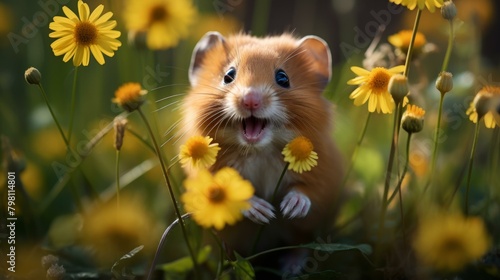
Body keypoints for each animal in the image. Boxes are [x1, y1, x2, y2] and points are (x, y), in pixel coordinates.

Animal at [180, 32, 344, 262]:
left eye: (283, 78)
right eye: (228, 75)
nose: (250, 100)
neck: (260, 151)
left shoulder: (324, 177)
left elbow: (306, 192)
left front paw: (289, 209)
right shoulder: (210, 175)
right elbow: (234, 194)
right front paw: (265, 212)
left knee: (300, 244)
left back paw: (292, 264)